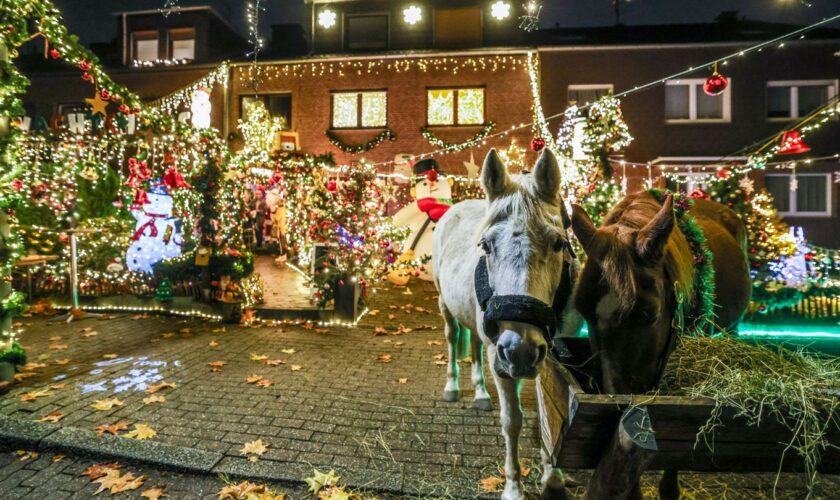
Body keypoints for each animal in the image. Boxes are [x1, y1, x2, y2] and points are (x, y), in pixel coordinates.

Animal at [434, 149, 572, 500]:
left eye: (558, 244)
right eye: (486, 245)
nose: (518, 350)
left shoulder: (544, 355)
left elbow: (547, 417)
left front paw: (553, 475)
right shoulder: (503, 361)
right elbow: (512, 421)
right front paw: (513, 487)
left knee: (474, 346)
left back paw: (481, 393)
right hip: (446, 307)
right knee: (453, 339)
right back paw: (452, 386)